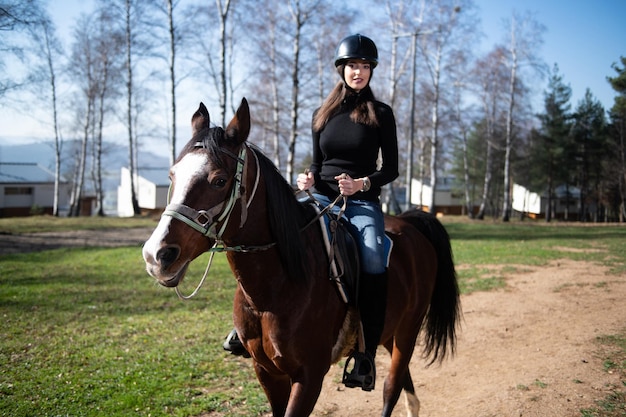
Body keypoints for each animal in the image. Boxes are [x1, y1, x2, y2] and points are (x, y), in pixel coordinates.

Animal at [140, 98, 458, 416]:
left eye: (219, 180)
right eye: (172, 176)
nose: (157, 255)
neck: (276, 288)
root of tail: (410, 224)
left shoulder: (309, 376)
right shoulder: (267, 371)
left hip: (407, 332)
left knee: (391, 387)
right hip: (389, 332)